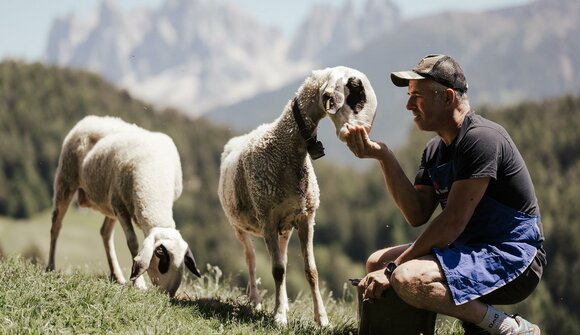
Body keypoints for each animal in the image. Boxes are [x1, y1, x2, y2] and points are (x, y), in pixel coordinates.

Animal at [47, 115, 202, 296]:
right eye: (161, 256)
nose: (167, 295)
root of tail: (91, 118)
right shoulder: (120, 208)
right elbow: (133, 242)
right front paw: (139, 284)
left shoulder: (118, 204)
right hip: (66, 180)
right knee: (56, 226)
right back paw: (50, 267)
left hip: (109, 200)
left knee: (105, 233)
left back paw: (117, 276)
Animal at [218, 67, 376, 326]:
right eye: (357, 95)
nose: (364, 134)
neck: (285, 146)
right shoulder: (267, 218)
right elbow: (277, 270)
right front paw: (279, 317)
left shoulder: (306, 218)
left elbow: (310, 270)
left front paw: (321, 319)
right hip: (239, 225)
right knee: (251, 257)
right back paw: (256, 300)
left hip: (285, 227)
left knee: (280, 257)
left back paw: (281, 303)